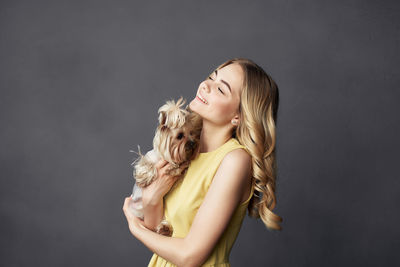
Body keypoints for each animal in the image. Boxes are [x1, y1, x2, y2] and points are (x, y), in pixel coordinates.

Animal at [130, 97, 202, 238]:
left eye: (191, 133)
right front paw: (145, 178)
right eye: (180, 136)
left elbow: (179, 166)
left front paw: (176, 167)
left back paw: (165, 228)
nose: (192, 142)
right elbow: (145, 164)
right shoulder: (146, 158)